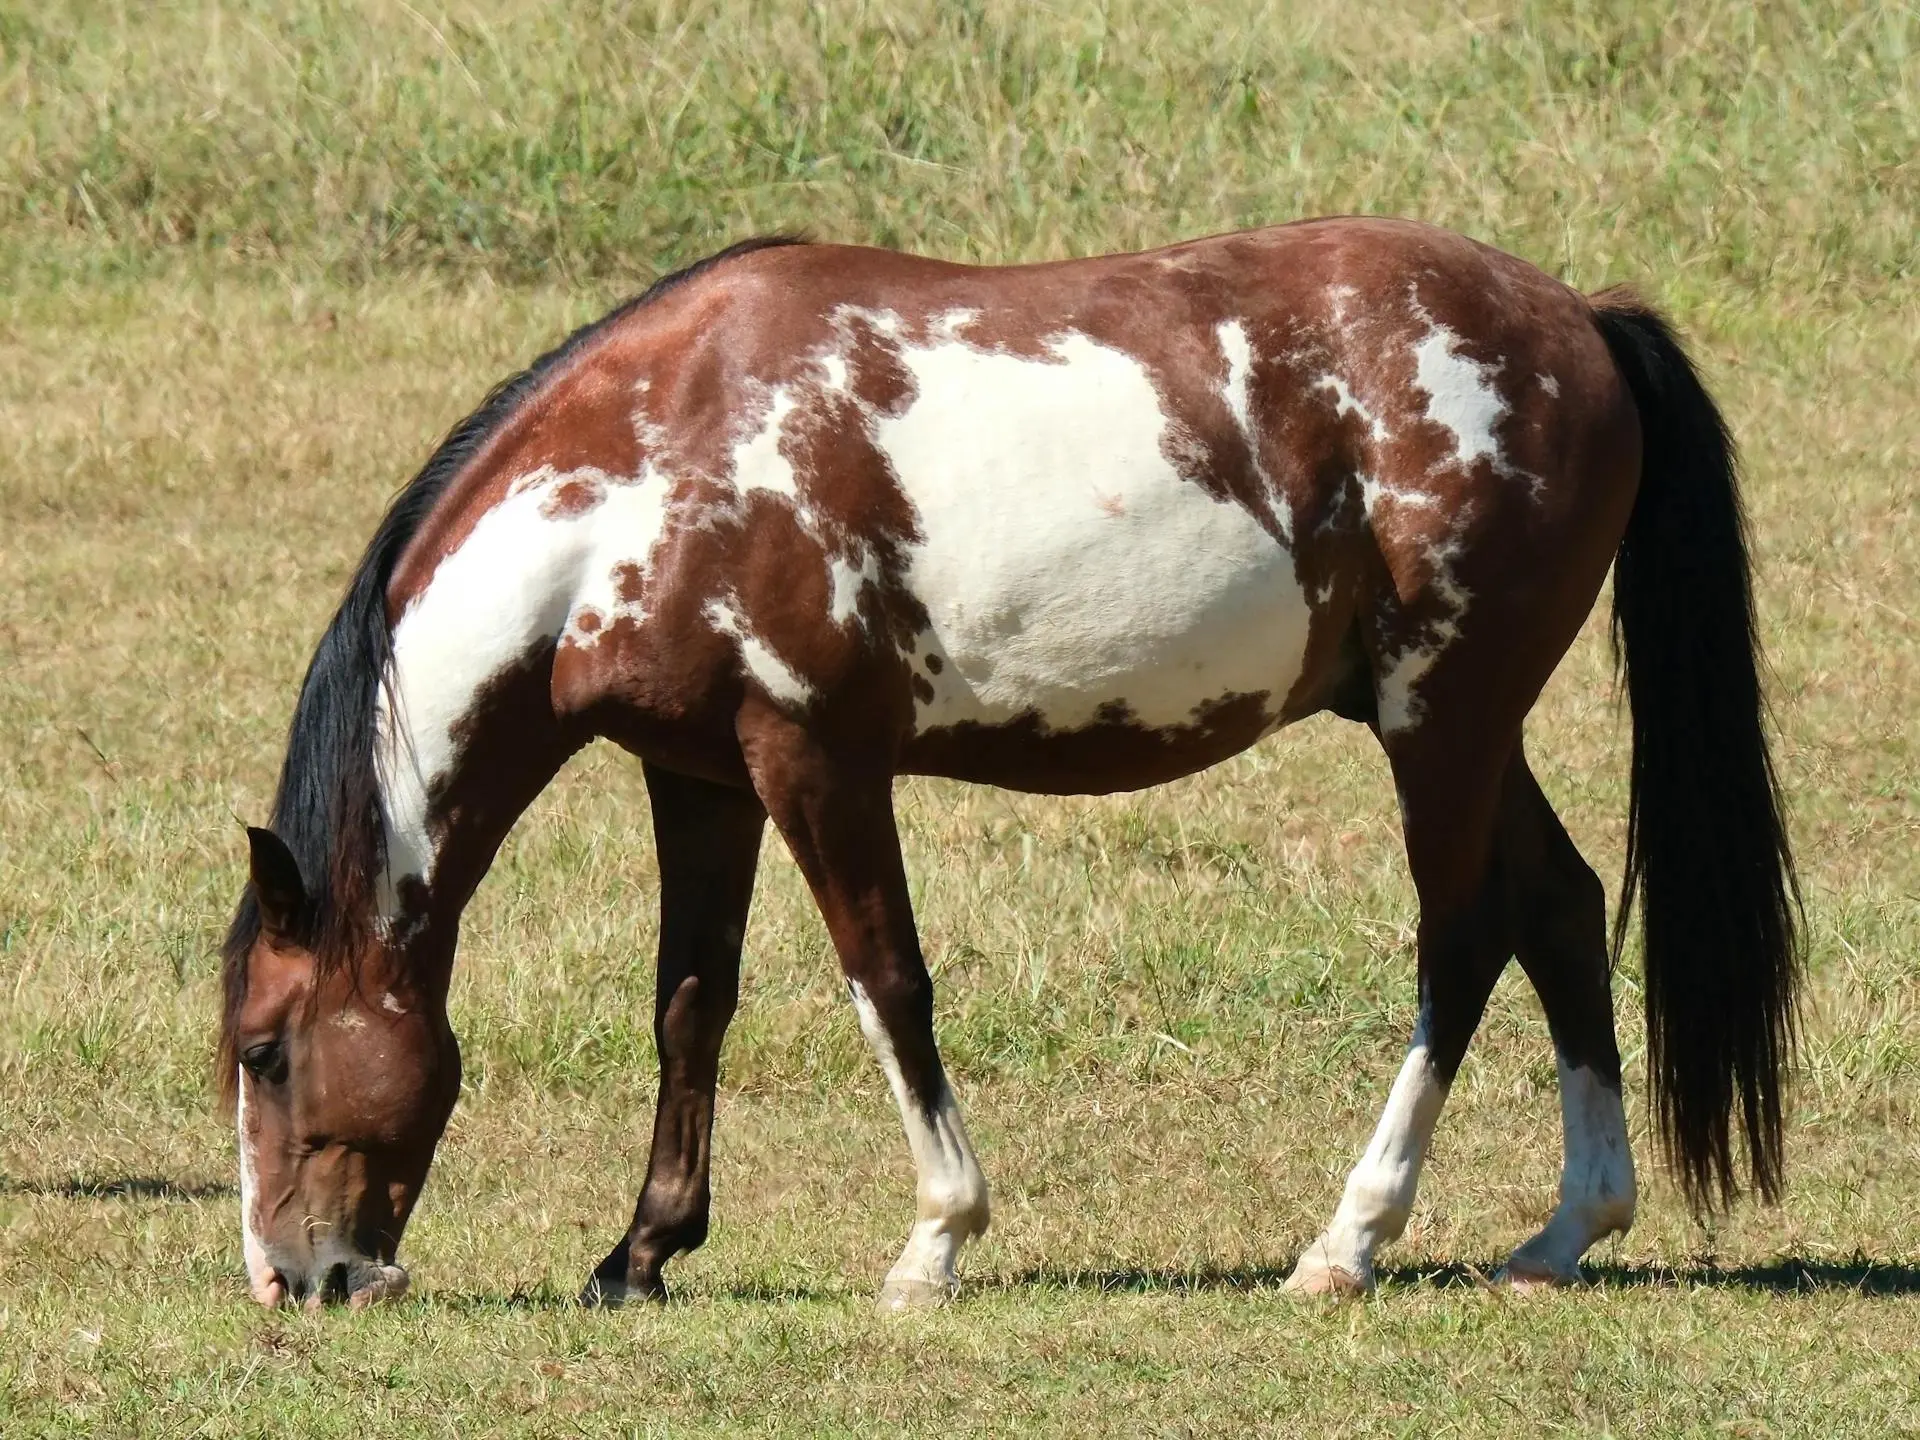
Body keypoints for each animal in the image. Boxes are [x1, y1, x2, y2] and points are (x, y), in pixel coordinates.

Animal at [220, 219, 1797, 1313]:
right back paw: (1568, 1228)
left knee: (1460, 943)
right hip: (1456, 722)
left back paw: (1347, 1240)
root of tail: (1581, 318)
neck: (648, 478)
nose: (297, 1280)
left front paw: (936, 1243)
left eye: (264, 1050)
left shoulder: (816, 764)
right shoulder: (704, 779)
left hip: (1441, 721)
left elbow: (889, 984)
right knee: (1565, 909)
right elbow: (690, 1006)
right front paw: (644, 1250)